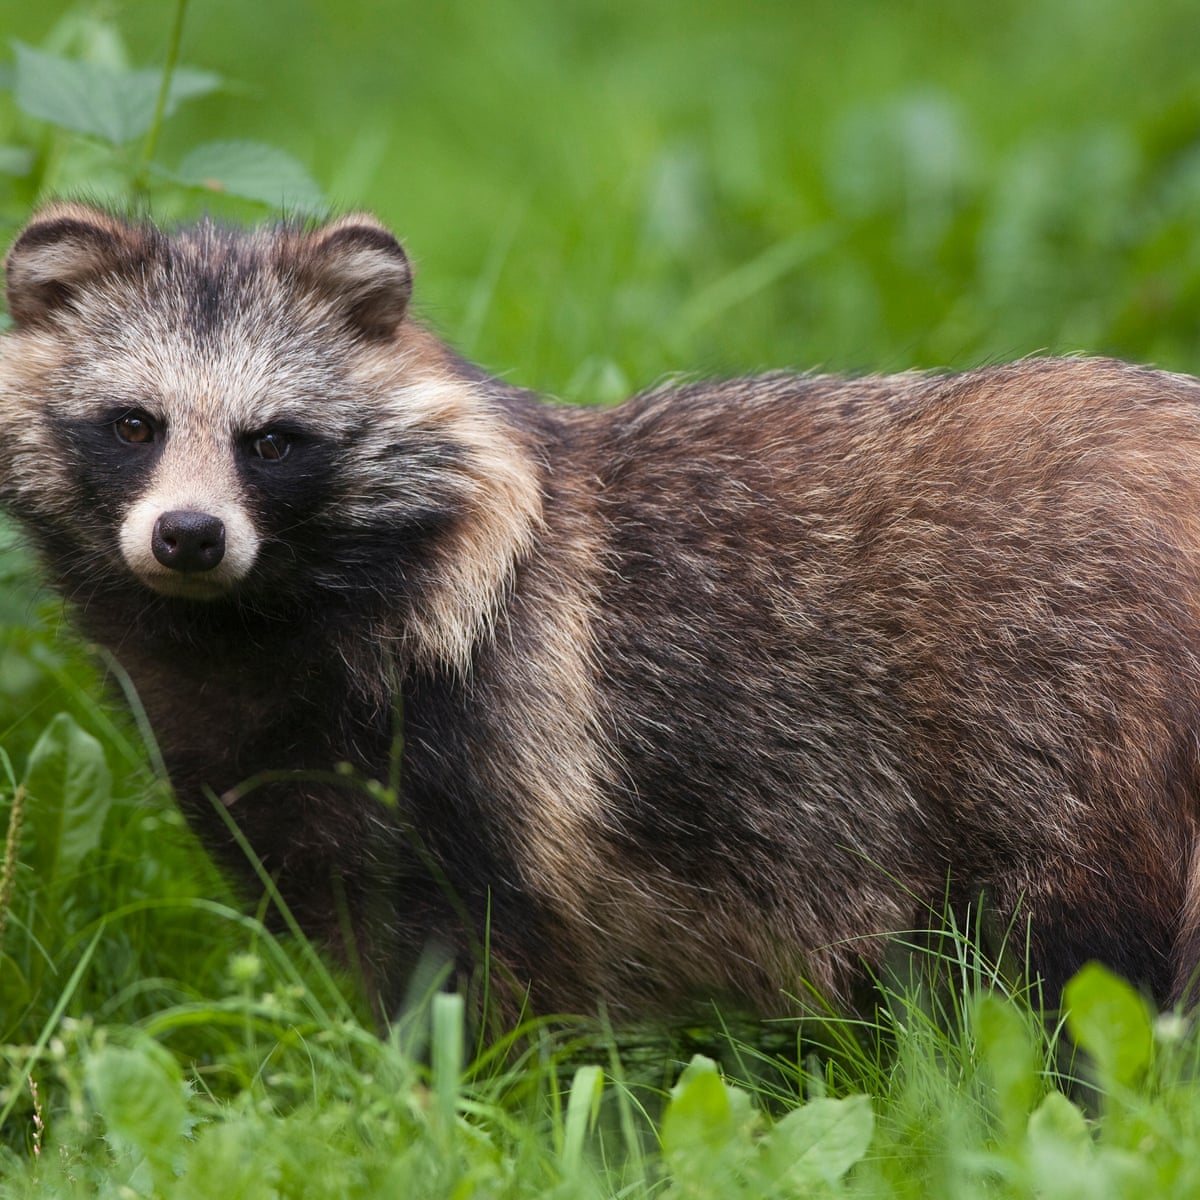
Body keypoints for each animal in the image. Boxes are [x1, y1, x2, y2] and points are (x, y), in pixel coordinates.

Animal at [2, 201, 1200, 1017]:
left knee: (1077, 964)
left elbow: (486, 974)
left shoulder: (491, 735)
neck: (249, 632)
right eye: (133, 424)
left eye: (273, 441)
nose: (189, 535)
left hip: (1071, 726)